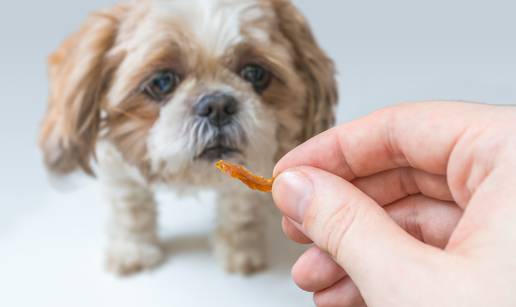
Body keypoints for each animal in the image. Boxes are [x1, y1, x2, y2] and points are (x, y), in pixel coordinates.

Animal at [40, 0, 338, 276]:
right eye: (162, 82)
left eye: (255, 73)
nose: (217, 104)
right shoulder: (117, 166)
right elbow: (131, 210)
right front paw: (133, 250)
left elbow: (239, 212)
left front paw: (238, 250)